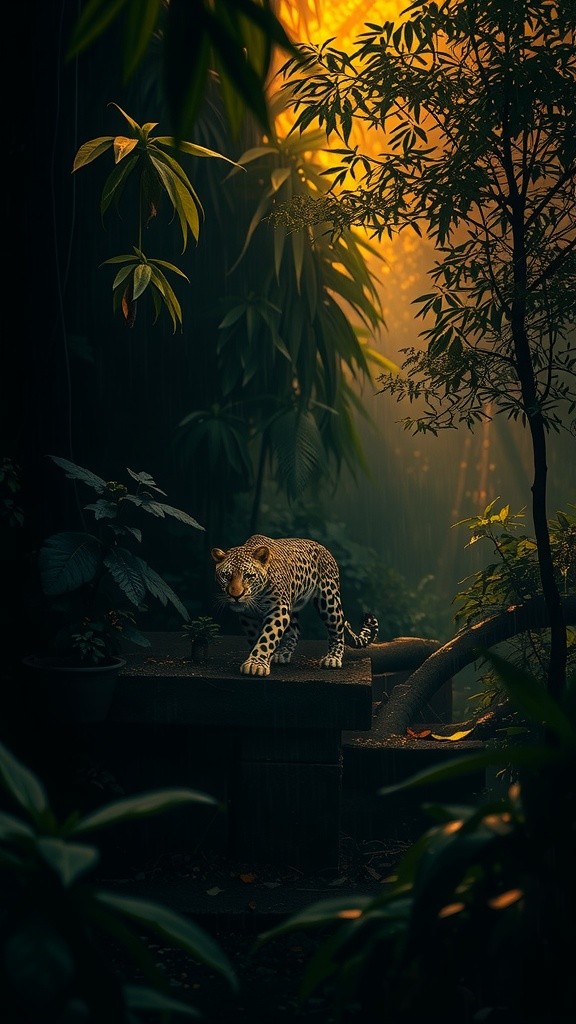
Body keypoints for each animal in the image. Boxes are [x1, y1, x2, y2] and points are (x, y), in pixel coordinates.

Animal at [211, 534, 379, 677]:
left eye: (248, 576)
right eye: (226, 575)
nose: (236, 596)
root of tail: (324, 548)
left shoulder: (278, 608)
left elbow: (267, 637)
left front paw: (256, 664)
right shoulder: (248, 616)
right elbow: (256, 638)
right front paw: (260, 658)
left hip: (329, 600)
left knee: (337, 630)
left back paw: (332, 658)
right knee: (295, 631)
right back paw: (282, 654)